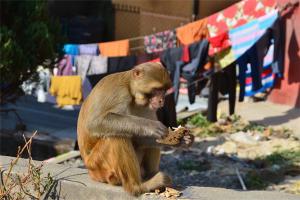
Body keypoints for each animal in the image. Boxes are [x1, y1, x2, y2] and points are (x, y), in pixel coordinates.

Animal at [77, 62, 193, 195]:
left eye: (164, 90)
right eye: (156, 90)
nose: (161, 100)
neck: (132, 93)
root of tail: (90, 171)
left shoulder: (146, 107)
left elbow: (141, 138)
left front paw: (183, 141)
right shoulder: (117, 91)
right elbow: (94, 123)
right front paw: (150, 125)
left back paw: (152, 177)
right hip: (98, 167)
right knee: (116, 136)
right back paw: (138, 186)